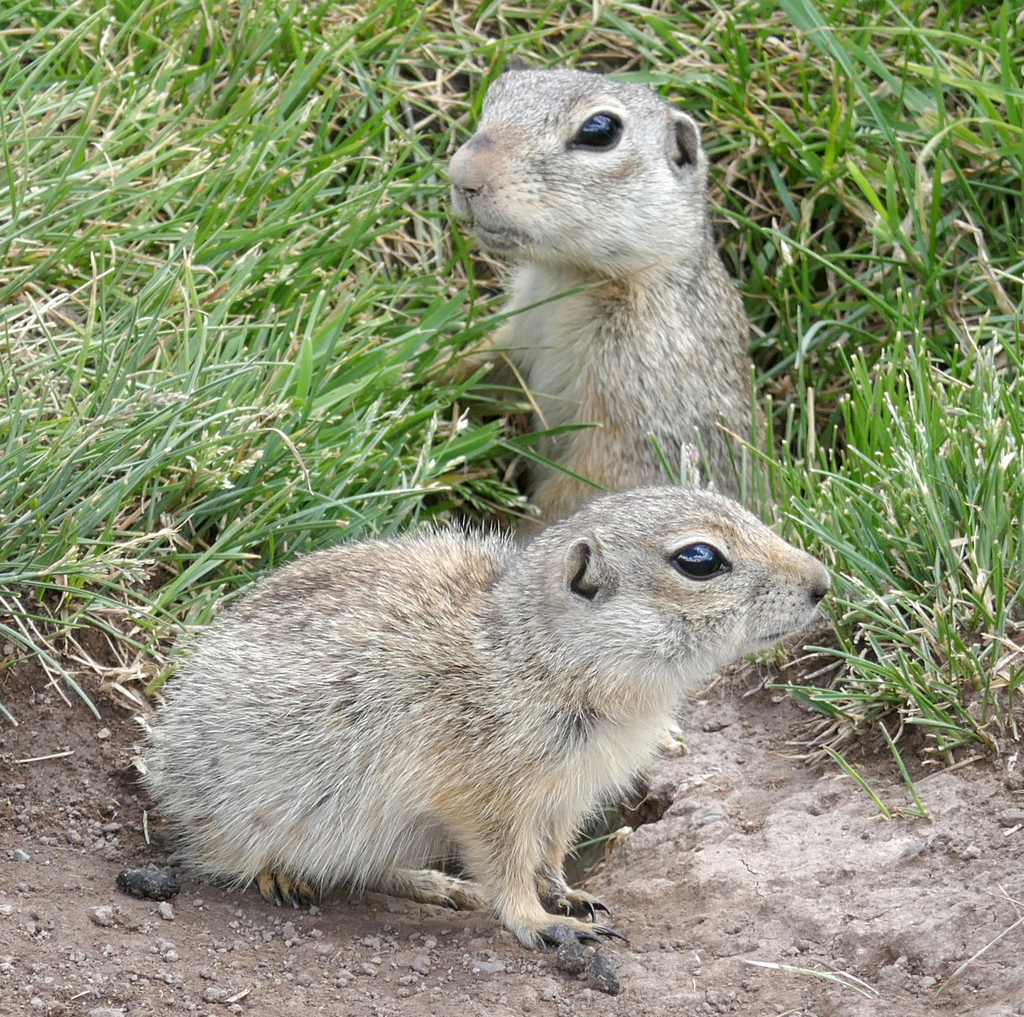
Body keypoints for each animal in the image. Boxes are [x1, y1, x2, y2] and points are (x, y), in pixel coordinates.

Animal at [143, 486, 829, 950]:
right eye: (700, 559)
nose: (822, 581)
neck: (539, 654)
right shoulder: (487, 791)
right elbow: (506, 861)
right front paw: (541, 922)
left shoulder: (566, 793)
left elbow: (549, 851)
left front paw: (567, 894)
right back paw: (281, 876)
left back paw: (437, 885)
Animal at [449, 67, 755, 523]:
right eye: (499, 90)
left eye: (600, 130)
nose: (462, 175)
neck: (570, 278)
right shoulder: (521, 331)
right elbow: (483, 367)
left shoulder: (643, 396)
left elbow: (592, 486)